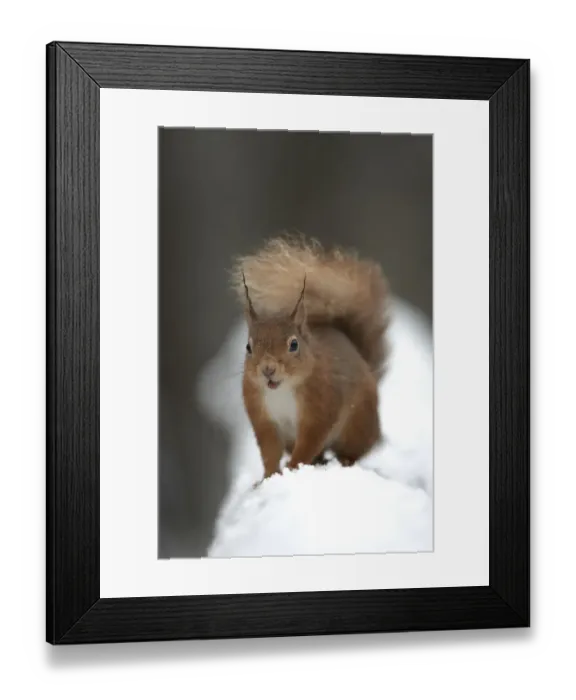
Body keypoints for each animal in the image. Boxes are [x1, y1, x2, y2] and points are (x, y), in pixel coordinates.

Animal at [230, 234, 390, 480]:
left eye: (294, 344)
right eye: (248, 347)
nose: (268, 369)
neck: (281, 390)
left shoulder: (321, 408)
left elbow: (308, 445)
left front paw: (292, 467)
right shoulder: (263, 418)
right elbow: (269, 451)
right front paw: (268, 477)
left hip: (357, 425)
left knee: (355, 450)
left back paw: (344, 460)